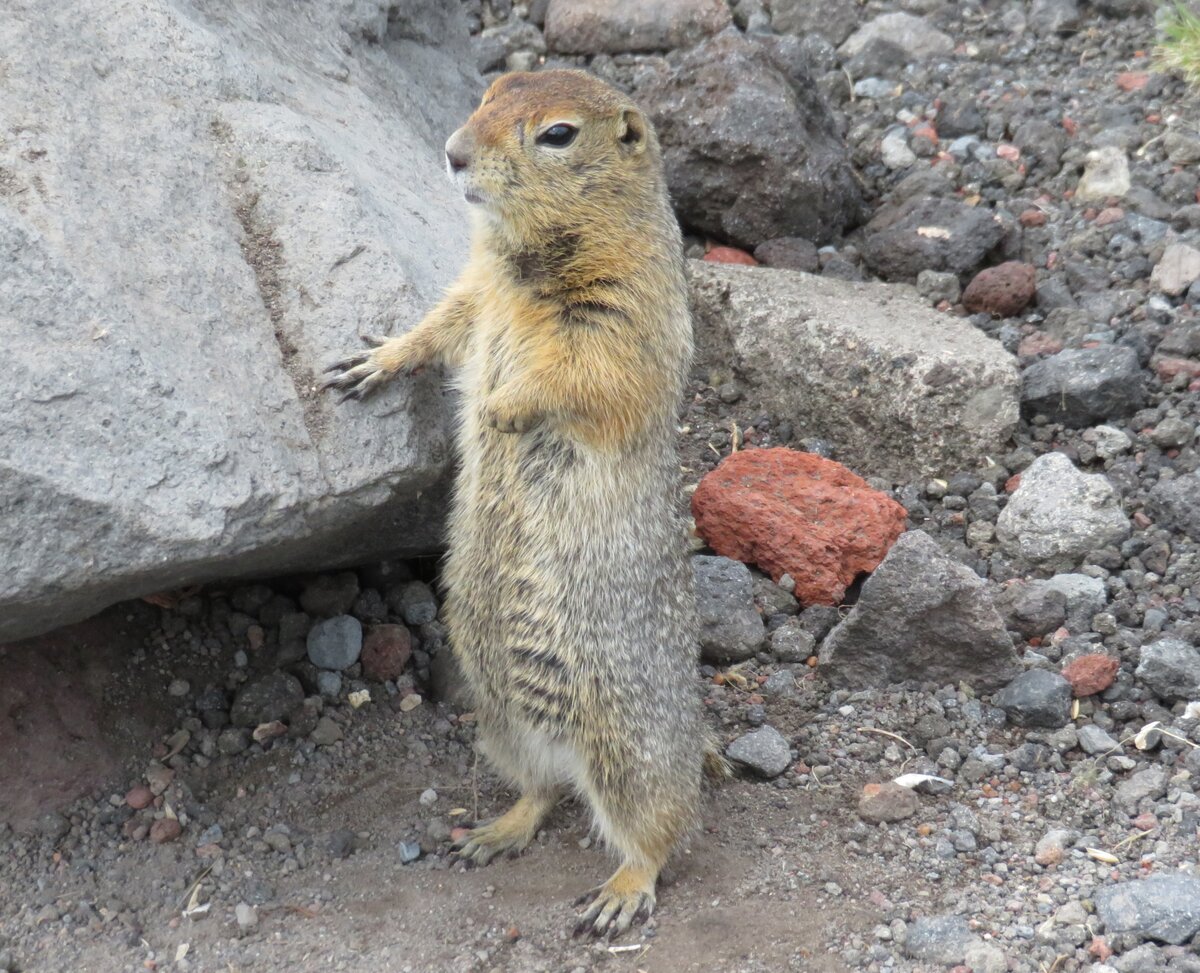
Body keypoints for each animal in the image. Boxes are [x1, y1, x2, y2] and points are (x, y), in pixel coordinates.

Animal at [321, 68, 720, 935]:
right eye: (489, 90)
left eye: (558, 134)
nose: (452, 151)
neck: (524, 257)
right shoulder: (475, 290)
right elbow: (441, 322)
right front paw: (372, 362)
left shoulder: (625, 311)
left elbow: (588, 375)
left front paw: (504, 407)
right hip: (500, 710)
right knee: (546, 788)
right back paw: (492, 831)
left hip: (630, 737)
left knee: (661, 825)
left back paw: (619, 892)